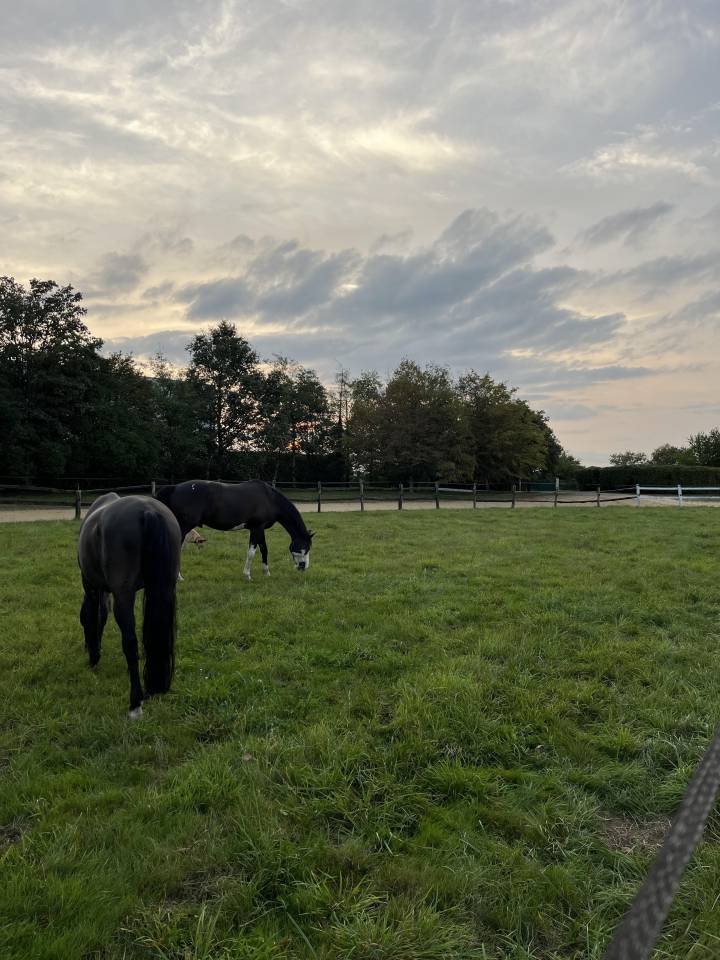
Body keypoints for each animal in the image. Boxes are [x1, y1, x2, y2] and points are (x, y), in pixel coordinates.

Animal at [77, 493, 182, 718]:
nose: (85, 649)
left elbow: (93, 616)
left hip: (123, 596)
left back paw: (135, 702)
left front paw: (94, 656)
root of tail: (148, 510)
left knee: (130, 642)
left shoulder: (91, 587)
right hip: (165, 588)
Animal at [155, 479, 314, 580]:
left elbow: (264, 549)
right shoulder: (256, 528)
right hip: (184, 527)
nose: (304, 567)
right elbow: (251, 552)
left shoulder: (260, 529)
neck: (269, 499)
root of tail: (174, 488)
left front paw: (266, 573)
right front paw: (247, 575)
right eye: (304, 547)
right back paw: (178, 577)